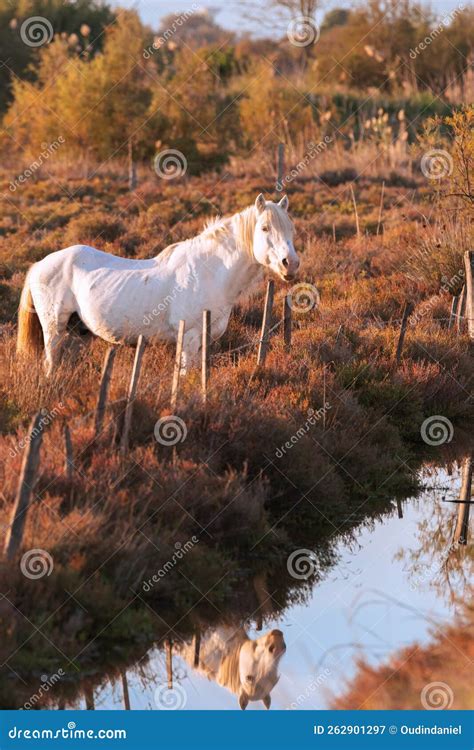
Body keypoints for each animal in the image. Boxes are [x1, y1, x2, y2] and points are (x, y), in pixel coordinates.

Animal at [18, 195, 300, 374]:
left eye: (291, 229)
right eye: (264, 228)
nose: (291, 263)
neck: (209, 272)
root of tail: (40, 264)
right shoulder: (188, 339)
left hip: (78, 333)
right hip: (54, 330)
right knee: (50, 365)